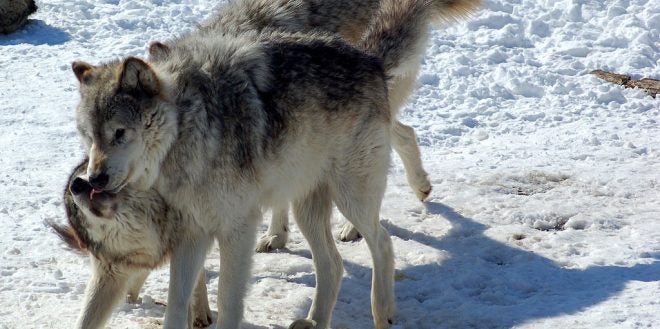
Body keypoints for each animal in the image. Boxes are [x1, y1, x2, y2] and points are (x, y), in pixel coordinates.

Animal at [50, 161, 213, 328]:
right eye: (76, 208)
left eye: (86, 171)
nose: (76, 184)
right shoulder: (109, 273)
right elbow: (85, 320)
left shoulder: (192, 236)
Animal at [69, 0, 480, 328]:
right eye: (89, 136)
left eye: (119, 133)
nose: (91, 179)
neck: (192, 128)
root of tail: (371, 61)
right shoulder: (192, 234)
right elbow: (177, 304)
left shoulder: (238, 228)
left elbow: (227, 301)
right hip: (306, 208)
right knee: (333, 265)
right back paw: (315, 321)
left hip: (352, 197)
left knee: (382, 243)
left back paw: (383, 312)